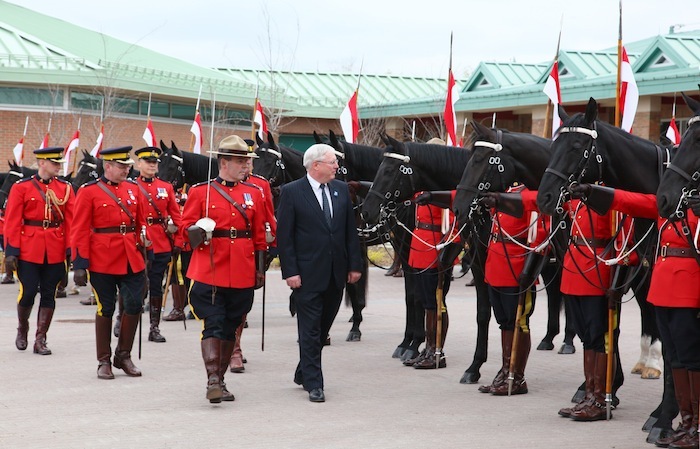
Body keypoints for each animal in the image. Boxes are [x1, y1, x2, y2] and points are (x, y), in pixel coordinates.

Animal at [360, 136, 492, 382]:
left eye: (389, 170)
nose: (366, 211)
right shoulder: (409, 255)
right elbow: (415, 298)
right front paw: (413, 346)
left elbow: (424, 300)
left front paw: (414, 346)